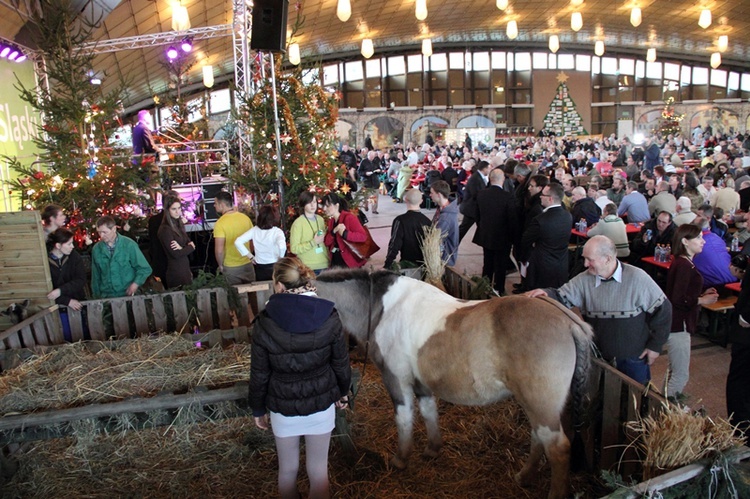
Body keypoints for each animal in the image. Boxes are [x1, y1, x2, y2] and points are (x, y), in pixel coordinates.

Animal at [316, 270, 592, 499]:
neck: (382, 307)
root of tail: (568, 321)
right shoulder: (422, 384)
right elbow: (429, 412)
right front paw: (433, 449)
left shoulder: (396, 379)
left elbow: (404, 418)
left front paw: (401, 460)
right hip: (536, 404)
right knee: (538, 437)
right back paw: (524, 477)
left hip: (541, 404)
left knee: (557, 448)